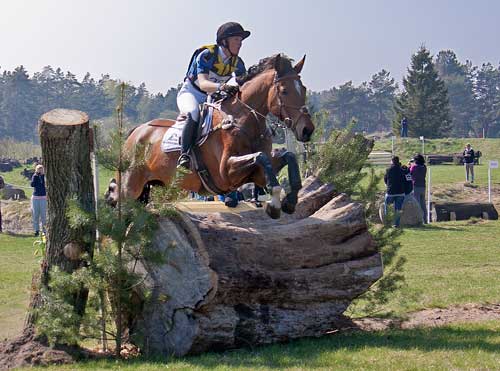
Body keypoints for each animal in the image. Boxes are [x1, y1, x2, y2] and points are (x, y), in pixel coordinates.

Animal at [105, 53, 314, 219]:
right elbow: (261, 157)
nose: (307, 130)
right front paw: (275, 204)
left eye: (303, 89)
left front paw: (289, 201)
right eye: (284, 91)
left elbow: (287, 157)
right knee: (120, 202)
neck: (243, 120)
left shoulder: (257, 174)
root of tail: (135, 133)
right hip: (130, 188)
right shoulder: (226, 173)